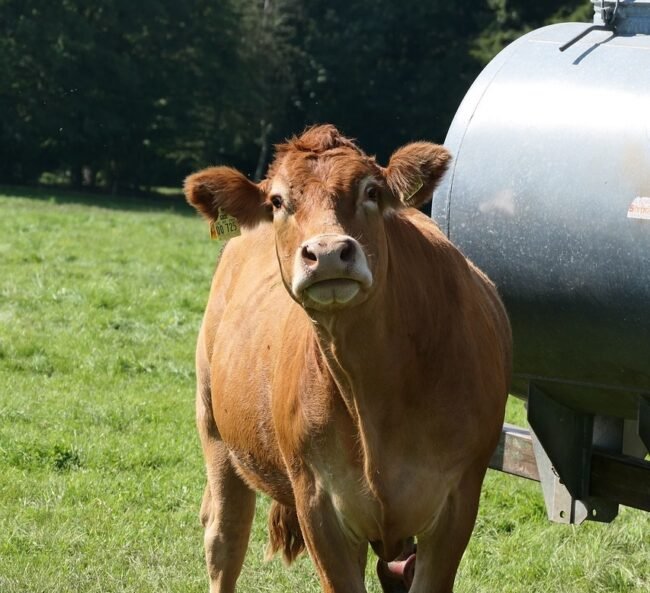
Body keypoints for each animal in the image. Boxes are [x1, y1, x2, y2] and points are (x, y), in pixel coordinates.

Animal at [184, 124, 511, 593]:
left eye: (371, 191)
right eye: (278, 201)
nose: (326, 252)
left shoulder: (458, 501)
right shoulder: (318, 503)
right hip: (215, 432)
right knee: (224, 538)